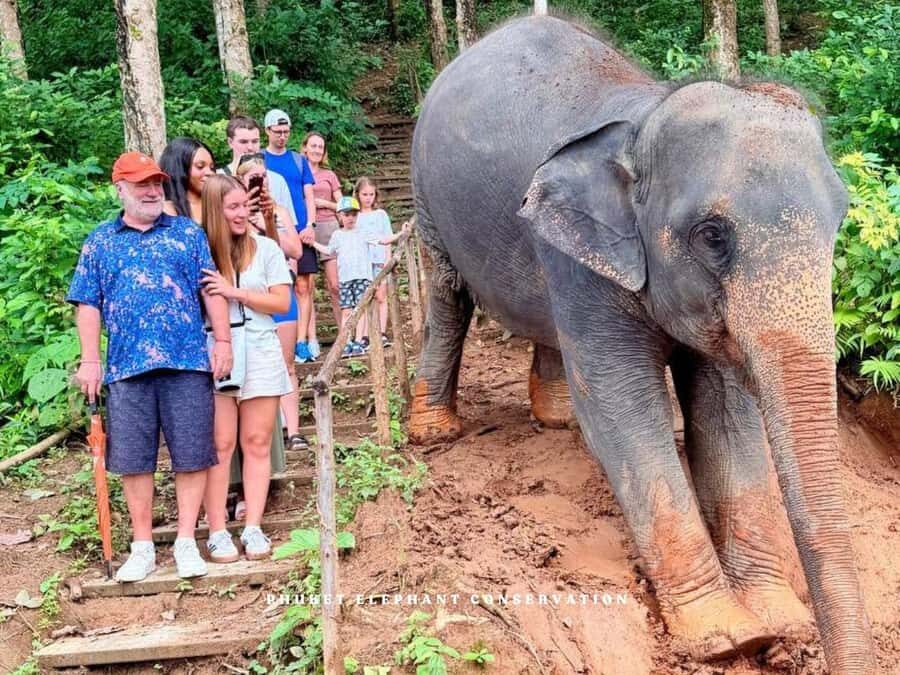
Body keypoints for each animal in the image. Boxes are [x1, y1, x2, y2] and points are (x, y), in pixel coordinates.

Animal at [407, 15, 875, 674]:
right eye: (712, 236)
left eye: (840, 220)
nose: (811, 641)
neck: (644, 116)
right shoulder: (578, 256)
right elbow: (622, 407)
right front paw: (729, 636)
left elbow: (727, 414)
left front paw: (777, 620)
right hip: (424, 192)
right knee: (447, 296)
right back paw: (434, 432)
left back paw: (554, 420)